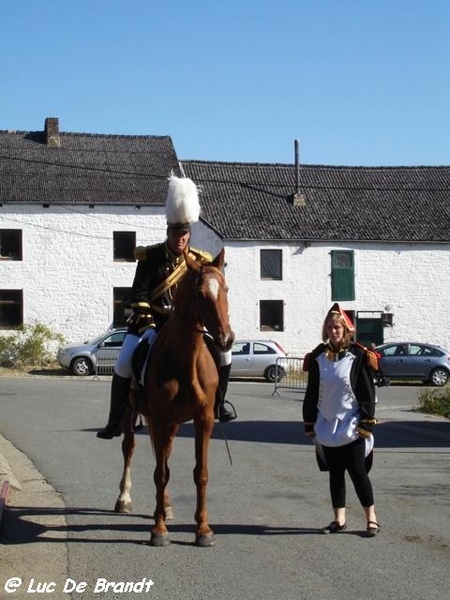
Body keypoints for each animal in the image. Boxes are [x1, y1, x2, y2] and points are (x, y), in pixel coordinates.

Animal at [114, 248, 234, 548]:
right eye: (199, 293)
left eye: (225, 288)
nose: (226, 339)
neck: (186, 360)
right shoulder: (158, 418)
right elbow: (160, 473)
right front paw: (158, 530)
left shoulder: (203, 420)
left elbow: (200, 473)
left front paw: (203, 529)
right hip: (134, 414)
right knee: (130, 448)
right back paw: (124, 498)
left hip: (173, 424)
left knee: (164, 453)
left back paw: (166, 506)